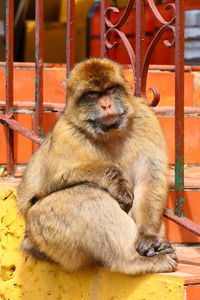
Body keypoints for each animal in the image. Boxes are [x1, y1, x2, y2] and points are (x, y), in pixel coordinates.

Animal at [17, 57, 177, 276]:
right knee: (85, 194)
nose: (106, 104)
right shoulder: (66, 133)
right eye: (93, 94)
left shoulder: (146, 118)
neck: (110, 133)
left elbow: (149, 179)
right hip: (46, 238)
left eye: (109, 89)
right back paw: (132, 260)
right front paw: (116, 179)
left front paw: (149, 237)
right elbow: (53, 181)